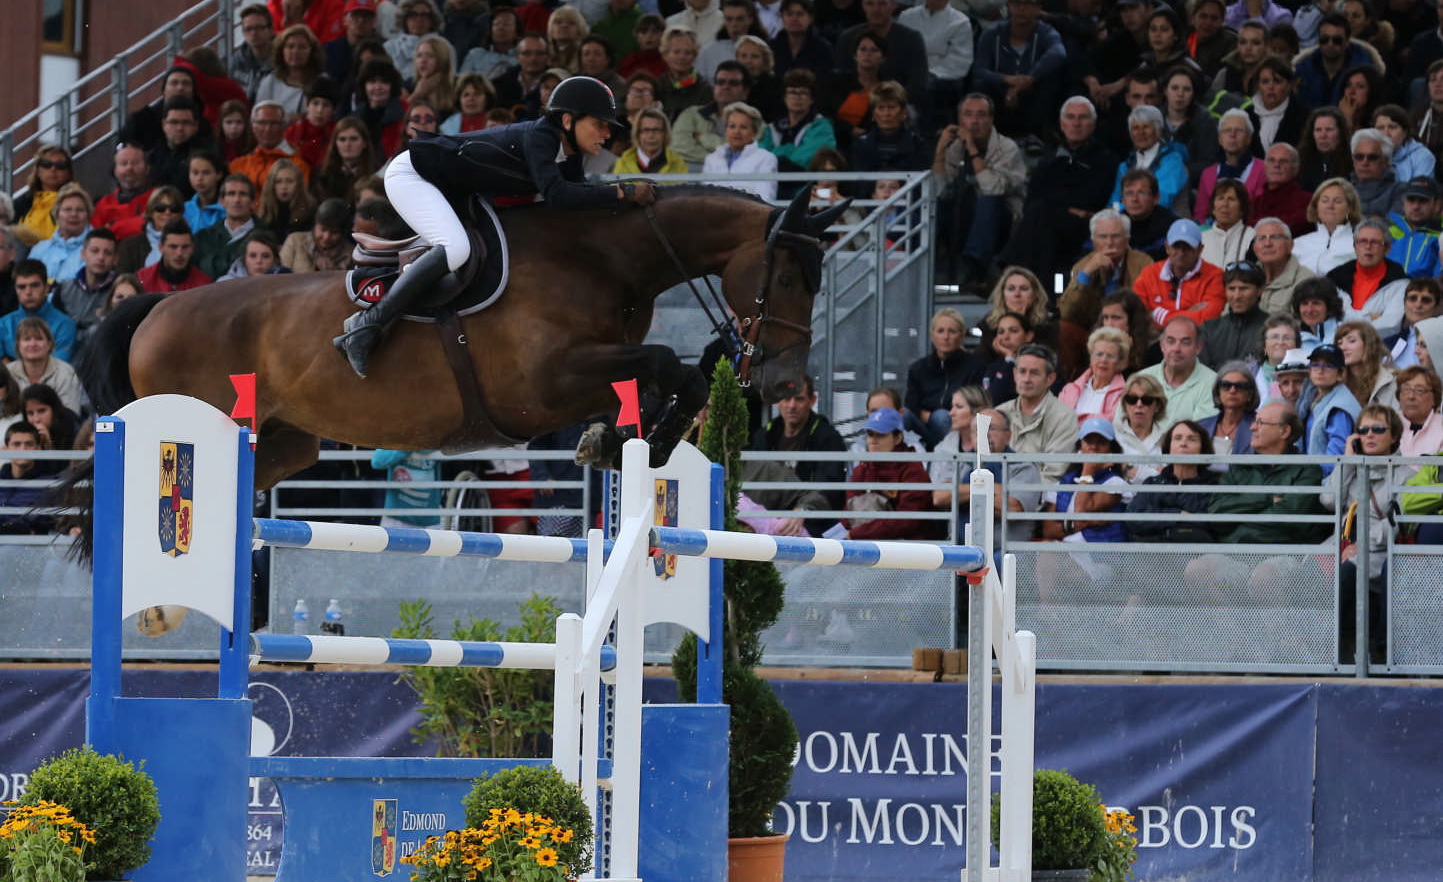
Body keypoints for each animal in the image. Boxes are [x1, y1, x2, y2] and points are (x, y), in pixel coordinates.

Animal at [84, 187, 842, 493]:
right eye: (786, 276)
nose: (784, 384)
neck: (603, 259)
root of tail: (156, 307)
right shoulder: (542, 384)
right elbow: (665, 362)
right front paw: (637, 443)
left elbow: (667, 376)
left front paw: (624, 443)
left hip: (286, 439)